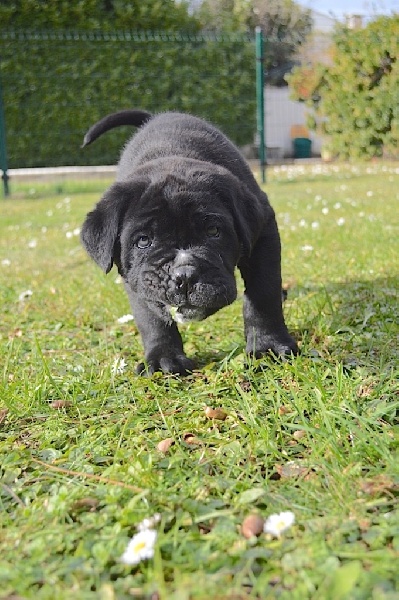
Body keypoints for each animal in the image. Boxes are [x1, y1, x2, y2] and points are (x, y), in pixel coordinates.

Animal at [81, 109, 298, 372]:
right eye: (143, 241)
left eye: (213, 231)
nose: (184, 275)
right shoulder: (134, 279)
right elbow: (150, 317)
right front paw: (164, 358)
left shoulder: (263, 233)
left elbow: (263, 293)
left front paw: (268, 346)